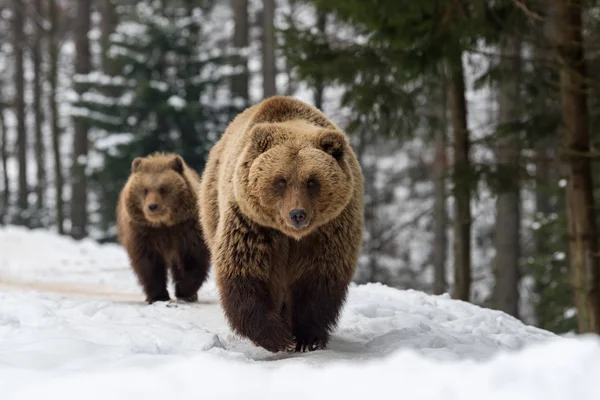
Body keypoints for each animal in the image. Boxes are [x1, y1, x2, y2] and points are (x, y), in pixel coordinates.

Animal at [116, 152, 211, 304]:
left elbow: (193, 258)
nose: (152, 206)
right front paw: (158, 295)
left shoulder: (186, 229)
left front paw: (185, 291)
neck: (163, 223)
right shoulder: (144, 232)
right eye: (145, 189)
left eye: (163, 189)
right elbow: (149, 263)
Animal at [199, 95, 364, 352]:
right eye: (281, 180)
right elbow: (247, 271)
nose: (297, 214)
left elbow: (317, 278)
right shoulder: (253, 224)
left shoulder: (328, 230)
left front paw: (307, 338)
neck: (291, 235)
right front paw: (278, 337)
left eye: (312, 181)